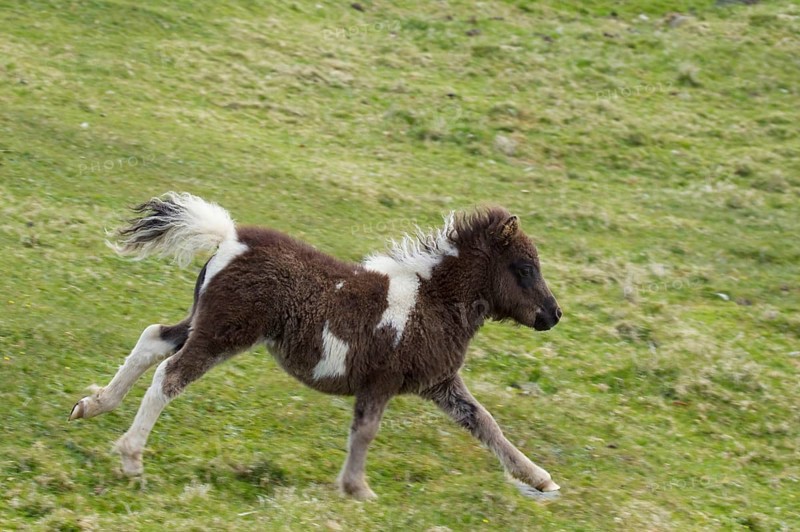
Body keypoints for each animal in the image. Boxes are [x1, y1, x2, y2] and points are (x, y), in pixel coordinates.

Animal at [69, 192, 563, 500]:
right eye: (524, 268)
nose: (554, 315)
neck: (432, 299)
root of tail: (229, 238)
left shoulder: (439, 383)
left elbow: (486, 424)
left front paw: (540, 480)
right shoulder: (382, 380)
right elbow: (365, 430)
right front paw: (357, 490)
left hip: (204, 323)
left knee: (152, 339)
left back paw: (91, 405)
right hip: (224, 333)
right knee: (169, 375)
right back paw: (131, 458)